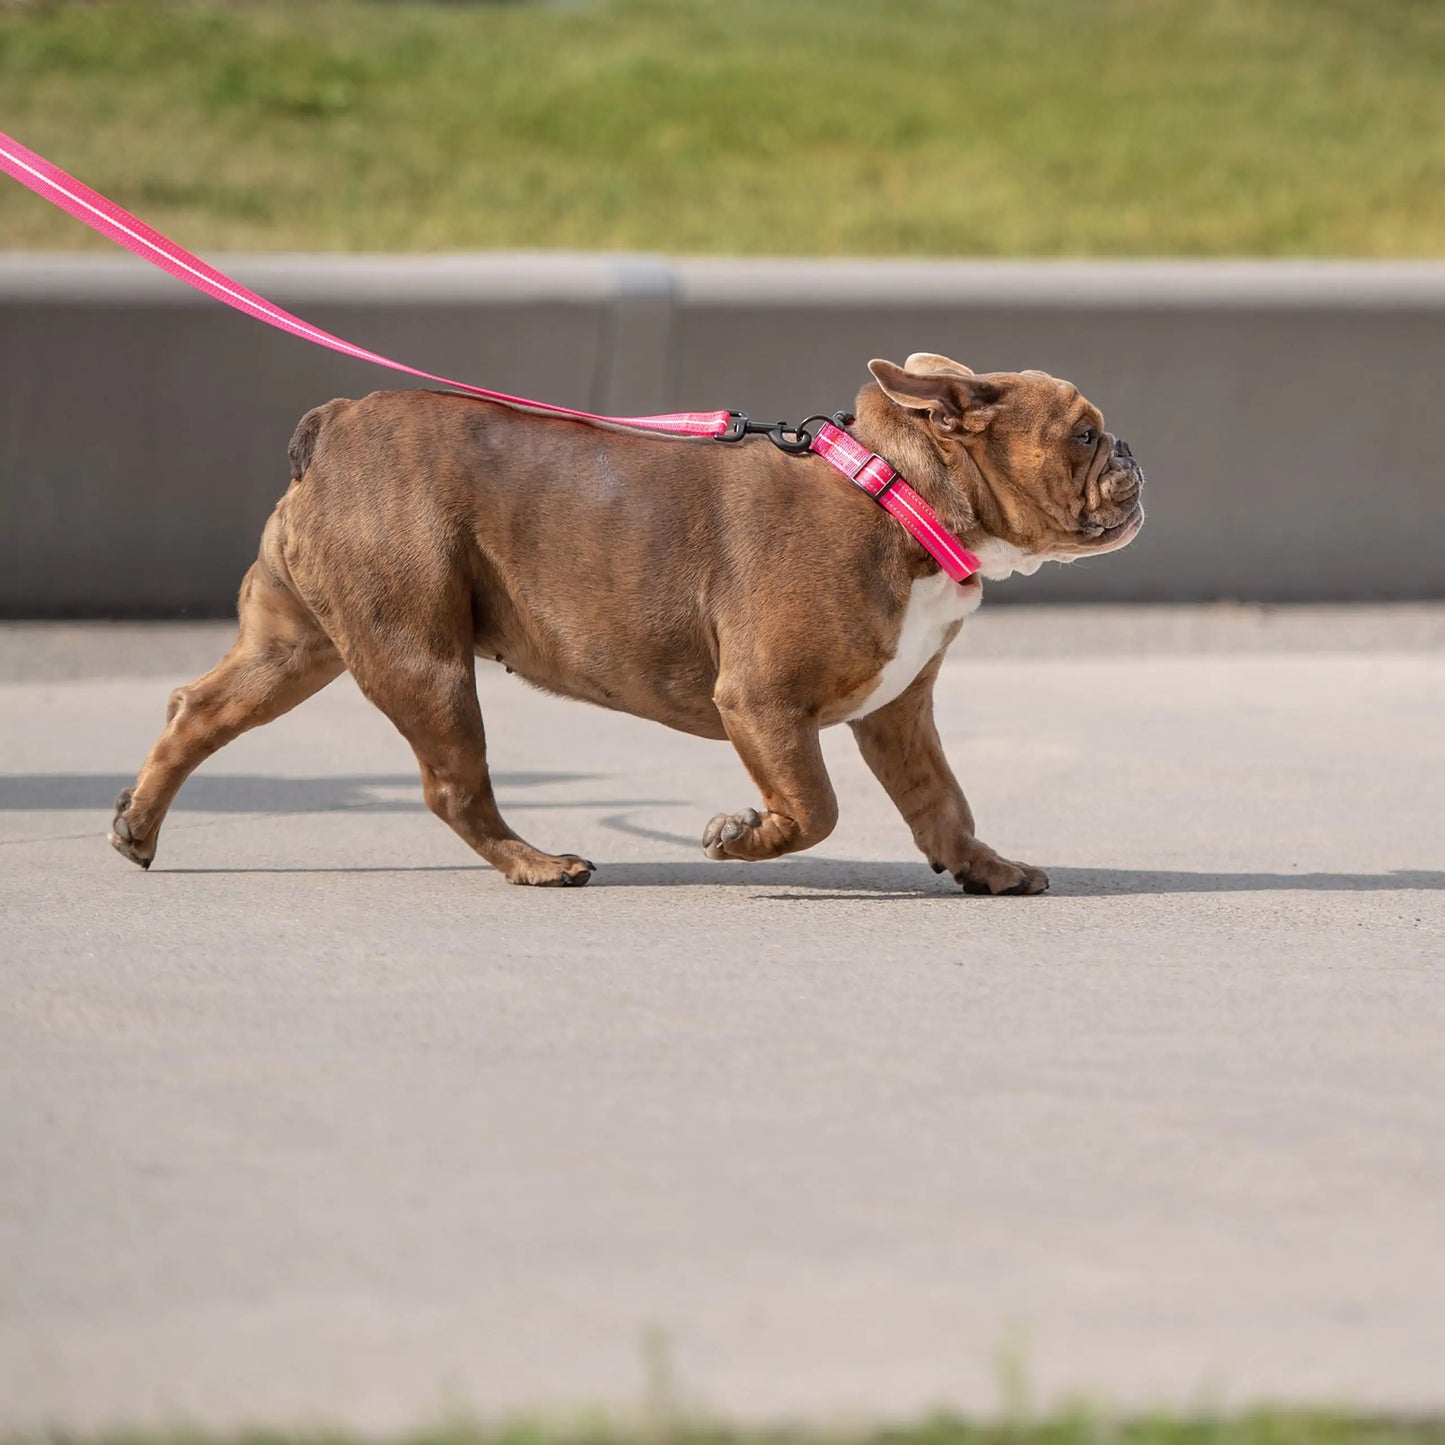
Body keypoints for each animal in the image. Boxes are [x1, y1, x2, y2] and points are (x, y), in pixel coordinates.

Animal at [109, 351, 1138, 890]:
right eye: (1083, 433)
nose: (1128, 445)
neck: (900, 494)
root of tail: (337, 422)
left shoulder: (897, 713)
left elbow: (940, 800)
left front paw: (984, 866)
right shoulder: (762, 702)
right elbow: (814, 806)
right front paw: (739, 836)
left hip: (299, 646)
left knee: (198, 711)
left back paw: (137, 826)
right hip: (421, 659)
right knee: (453, 785)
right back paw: (534, 863)